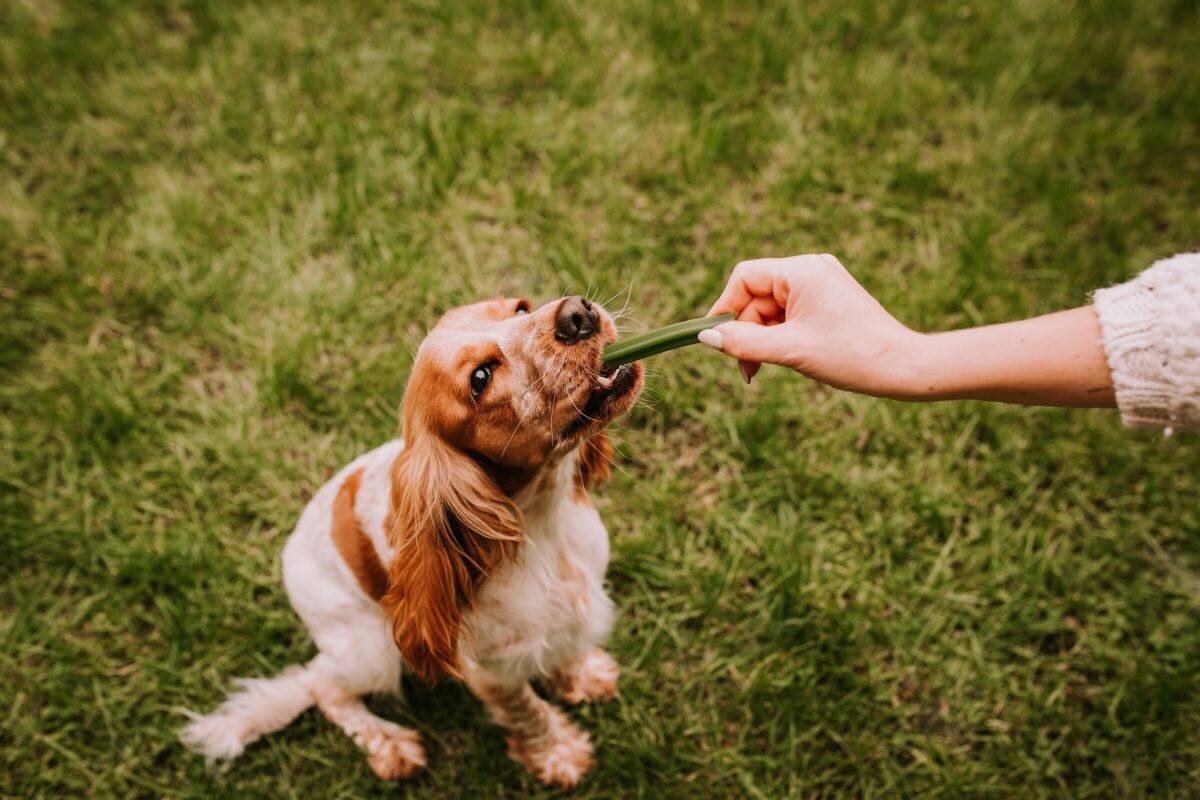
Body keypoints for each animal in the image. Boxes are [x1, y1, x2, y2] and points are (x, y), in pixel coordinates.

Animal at [178, 296, 643, 786]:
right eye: (480, 378)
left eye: (519, 308)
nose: (577, 314)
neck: (542, 522)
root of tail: (288, 554)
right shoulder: (491, 670)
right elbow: (527, 713)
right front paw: (558, 755)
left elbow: (566, 645)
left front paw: (583, 676)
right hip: (371, 649)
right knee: (322, 686)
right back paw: (391, 746)